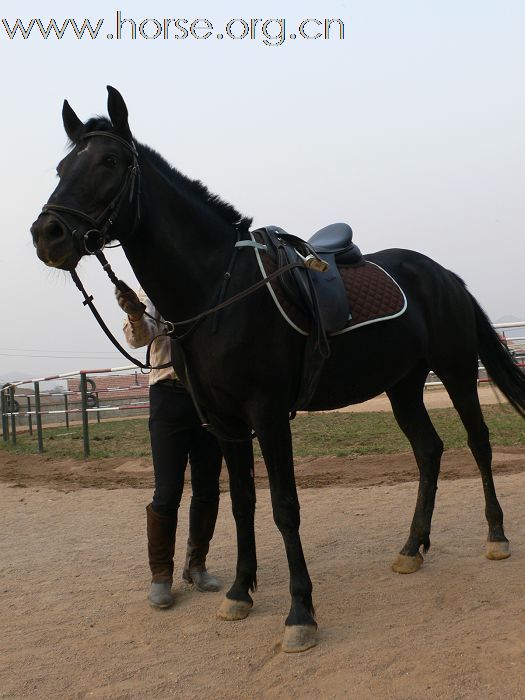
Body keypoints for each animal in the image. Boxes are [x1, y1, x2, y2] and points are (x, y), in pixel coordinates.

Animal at [31, 86, 524, 652]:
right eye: (63, 166)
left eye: (110, 161)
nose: (47, 234)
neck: (219, 290)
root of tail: (444, 275)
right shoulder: (225, 424)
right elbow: (242, 502)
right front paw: (239, 593)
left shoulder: (266, 414)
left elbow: (285, 506)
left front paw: (300, 613)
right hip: (402, 385)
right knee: (429, 451)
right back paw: (411, 547)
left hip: (458, 371)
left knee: (479, 444)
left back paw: (496, 537)